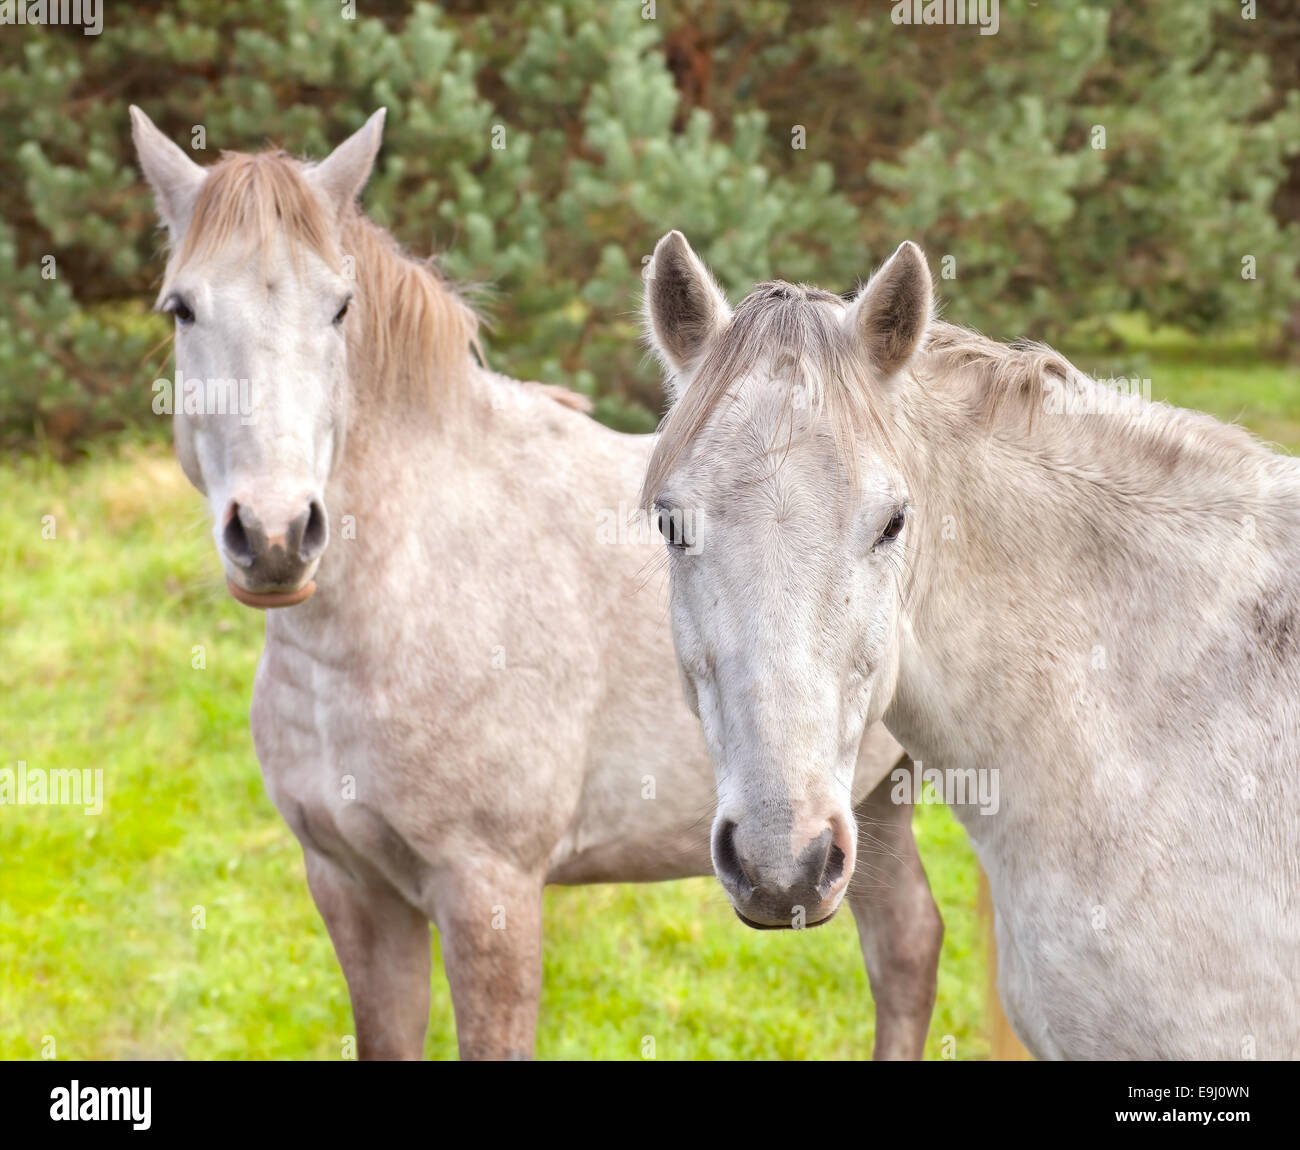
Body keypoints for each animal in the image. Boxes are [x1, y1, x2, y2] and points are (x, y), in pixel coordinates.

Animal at [131, 109, 946, 1060]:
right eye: (183, 308)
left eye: (338, 308)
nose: (273, 535)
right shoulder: (350, 887)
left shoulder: (490, 893)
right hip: (868, 807)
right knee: (906, 944)